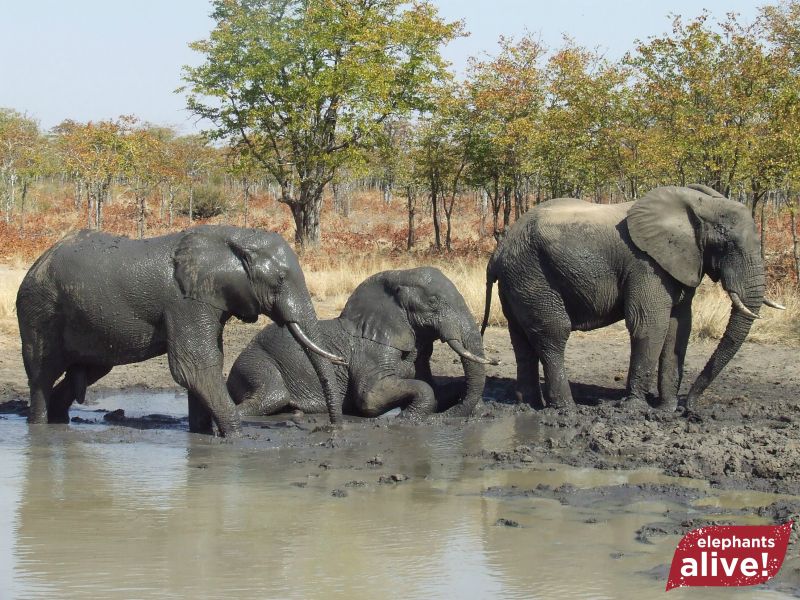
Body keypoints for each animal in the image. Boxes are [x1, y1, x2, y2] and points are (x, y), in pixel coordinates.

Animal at [16, 225, 345, 436]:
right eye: (279, 279)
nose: (333, 428)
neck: (230, 237)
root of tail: (38, 262)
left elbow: (205, 366)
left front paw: (202, 433)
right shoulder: (185, 302)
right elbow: (194, 367)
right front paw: (235, 438)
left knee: (89, 371)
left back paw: (60, 423)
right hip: (39, 309)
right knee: (42, 373)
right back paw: (40, 428)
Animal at [227, 267, 494, 419]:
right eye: (433, 302)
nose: (450, 416)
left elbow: (432, 385)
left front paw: (477, 410)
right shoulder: (371, 352)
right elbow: (371, 396)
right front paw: (408, 417)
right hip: (256, 360)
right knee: (274, 394)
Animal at [481, 185, 784, 412]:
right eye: (727, 245)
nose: (690, 408)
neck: (698, 206)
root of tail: (498, 253)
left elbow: (679, 328)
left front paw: (666, 410)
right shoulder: (646, 265)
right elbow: (649, 325)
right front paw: (636, 409)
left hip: (517, 282)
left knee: (522, 340)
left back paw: (528, 405)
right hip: (532, 275)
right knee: (553, 334)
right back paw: (567, 410)